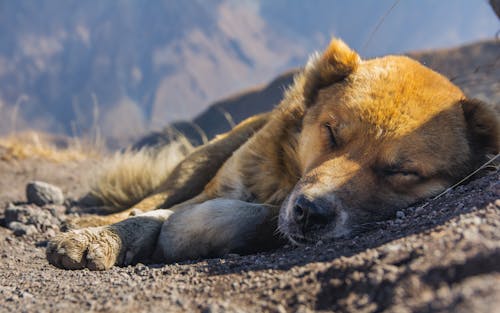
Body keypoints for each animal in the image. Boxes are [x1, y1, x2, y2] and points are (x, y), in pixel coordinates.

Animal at [46, 38, 496, 268]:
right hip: (200, 160)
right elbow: (150, 216)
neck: (284, 175)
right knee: (150, 198)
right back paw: (93, 218)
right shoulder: (217, 188)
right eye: (331, 132)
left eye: (402, 171)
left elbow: (234, 219)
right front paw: (100, 237)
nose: (310, 213)